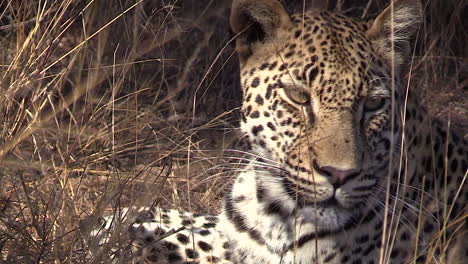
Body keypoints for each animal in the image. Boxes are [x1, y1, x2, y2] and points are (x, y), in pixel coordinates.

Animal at [90, 0, 464, 262]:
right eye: (298, 96)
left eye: (373, 104)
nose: (339, 175)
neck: (272, 206)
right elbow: (196, 225)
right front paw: (123, 220)